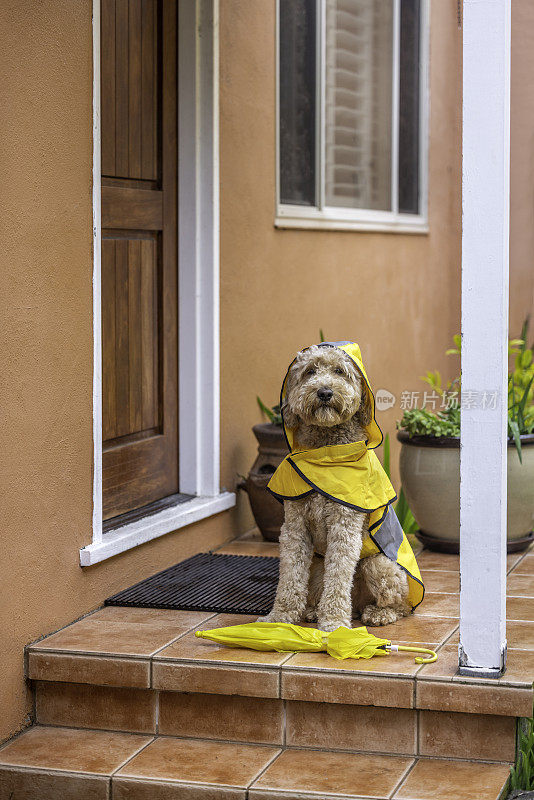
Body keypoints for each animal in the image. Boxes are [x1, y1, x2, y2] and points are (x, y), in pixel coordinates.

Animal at [262, 342, 426, 632]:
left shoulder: (344, 525)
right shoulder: (294, 526)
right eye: (310, 371)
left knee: (401, 606)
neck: (325, 453)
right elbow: (290, 575)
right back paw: (314, 611)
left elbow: (338, 576)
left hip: (379, 565)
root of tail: (359, 605)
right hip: (318, 567)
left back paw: (377, 614)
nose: (325, 392)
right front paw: (280, 617)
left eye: (340, 371)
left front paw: (335, 622)